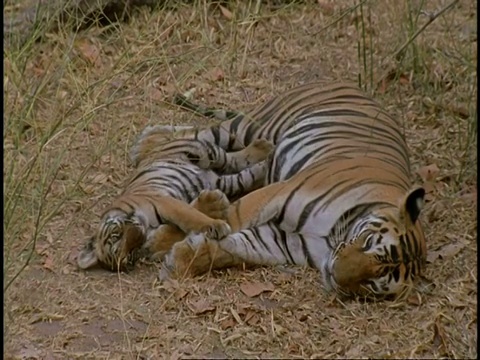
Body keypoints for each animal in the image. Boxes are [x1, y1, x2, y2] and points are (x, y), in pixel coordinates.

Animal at [78, 125, 274, 272]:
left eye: (115, 235)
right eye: (129, 253)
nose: (137, 233)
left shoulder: (163, 201)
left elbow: (189, 215)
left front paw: (215, 224)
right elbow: (185, 218)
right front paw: (213, 206)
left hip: (202, 151)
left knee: (230, 157)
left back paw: (264, 148)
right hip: (222, 180)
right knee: (241, 176)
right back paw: (263, 167)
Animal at [158, 82, 428, 300]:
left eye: (373, 284)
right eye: (369, 242)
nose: (334, 274)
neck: (333, 237)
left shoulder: (287, 243)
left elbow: (236, 249)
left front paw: (181, 257)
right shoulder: (277, 193)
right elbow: (231, 218)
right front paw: (162, 240)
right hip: (254, 126)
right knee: (198, 133)